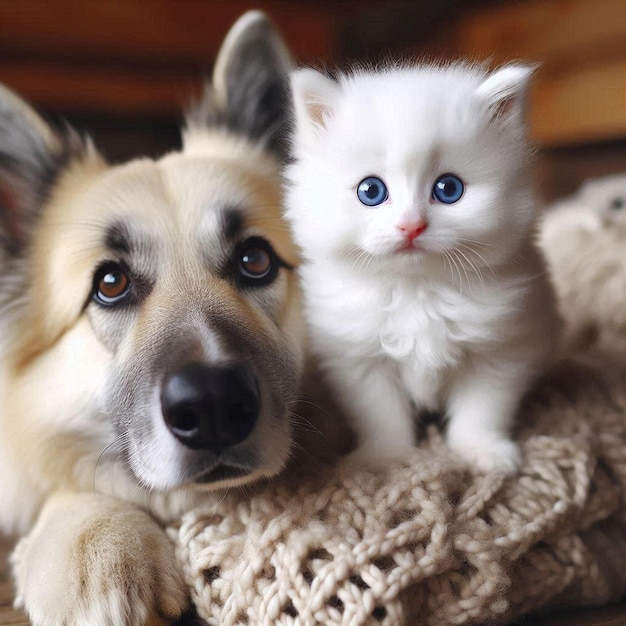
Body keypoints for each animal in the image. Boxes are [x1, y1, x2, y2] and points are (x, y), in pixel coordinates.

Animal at [286, 63, 560, 472]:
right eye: (371, 191)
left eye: (449, 189)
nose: (411, 226)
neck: (417, 289)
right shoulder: (360, 359)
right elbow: (381, 415)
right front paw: (382, 458)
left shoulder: (500, 351)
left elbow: (482, 410)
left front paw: (483, 452)